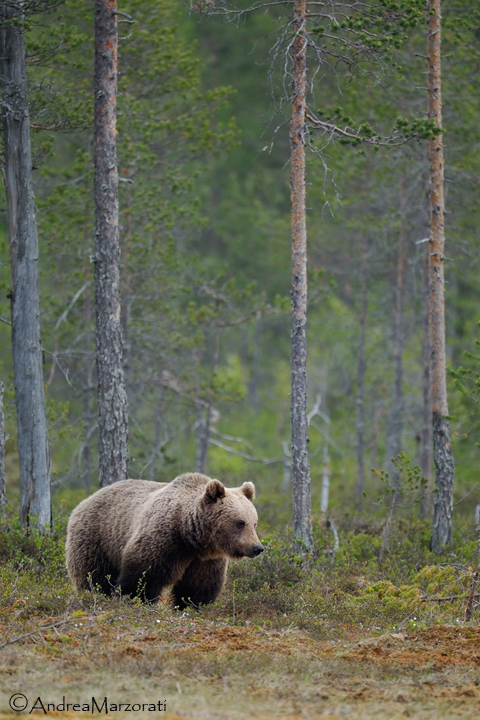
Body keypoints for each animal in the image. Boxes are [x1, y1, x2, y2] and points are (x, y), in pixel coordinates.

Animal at [65, 472, 264, 609]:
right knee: (94, 576)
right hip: (97, 538)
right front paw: (135, 599)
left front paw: (190, 606)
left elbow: (198, 586)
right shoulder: (163, 540)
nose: (257, 548)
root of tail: (84, 501)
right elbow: (142, 576)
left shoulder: (205, 560)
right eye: (240, 523)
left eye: (254, 523)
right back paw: (94, 597)